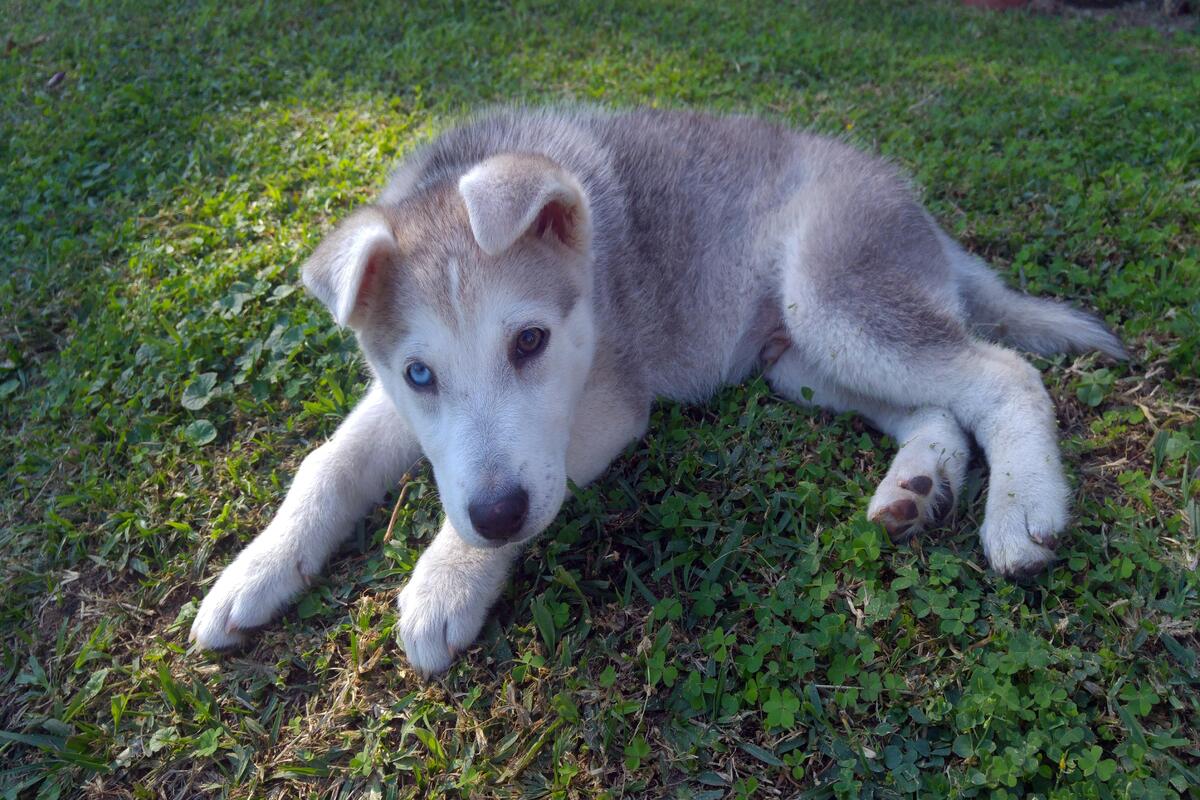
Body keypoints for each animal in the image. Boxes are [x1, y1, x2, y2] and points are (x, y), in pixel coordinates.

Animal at [187, 106, 1123, 676]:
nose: (495, 515)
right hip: (800, 358)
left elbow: (534, 482)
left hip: (833, 299)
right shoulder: (397, 403)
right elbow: (328, 464)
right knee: (938, 405)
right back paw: (920, 484)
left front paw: (448, 578)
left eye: (530, 341)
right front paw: (256, 569)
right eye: (421, 374)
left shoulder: (608, 405)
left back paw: (1024, 508)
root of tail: (917, 208)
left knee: (1003, 373)